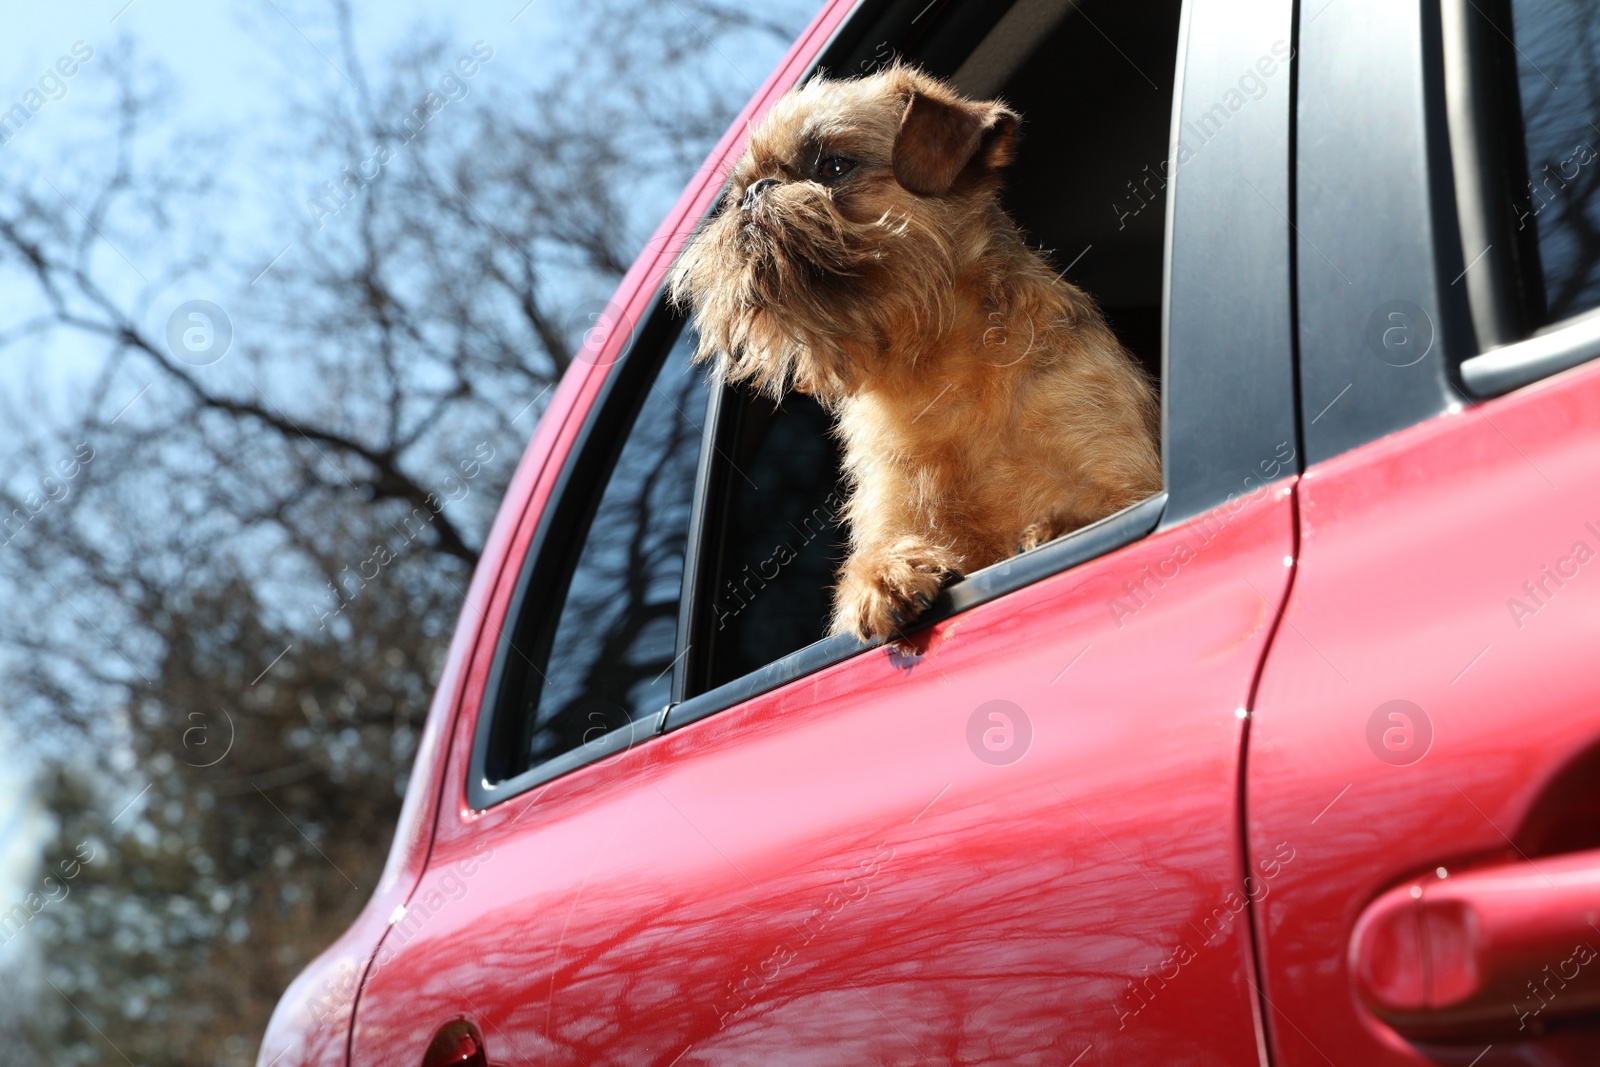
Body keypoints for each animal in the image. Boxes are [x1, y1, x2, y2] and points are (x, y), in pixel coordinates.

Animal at [668, 64, 1158, 643]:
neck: (937, 370)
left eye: (834, 166)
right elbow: (866, 567)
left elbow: (1110, 501)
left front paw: (1062, 524)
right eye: (741, 189)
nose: (757, 192)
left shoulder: (1125, 471)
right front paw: (883, 574)